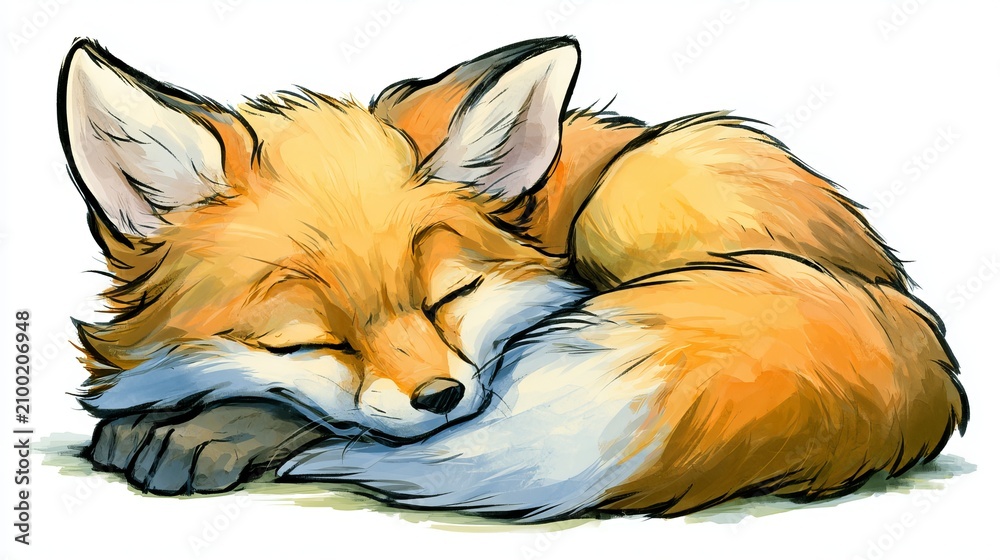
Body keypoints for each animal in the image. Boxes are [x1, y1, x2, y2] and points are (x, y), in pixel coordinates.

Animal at [59, 36, 968, 522]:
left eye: (449, 297)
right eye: (311, 340)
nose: (441, 398)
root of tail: (893, 300)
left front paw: (215, 428)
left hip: (629, 200)